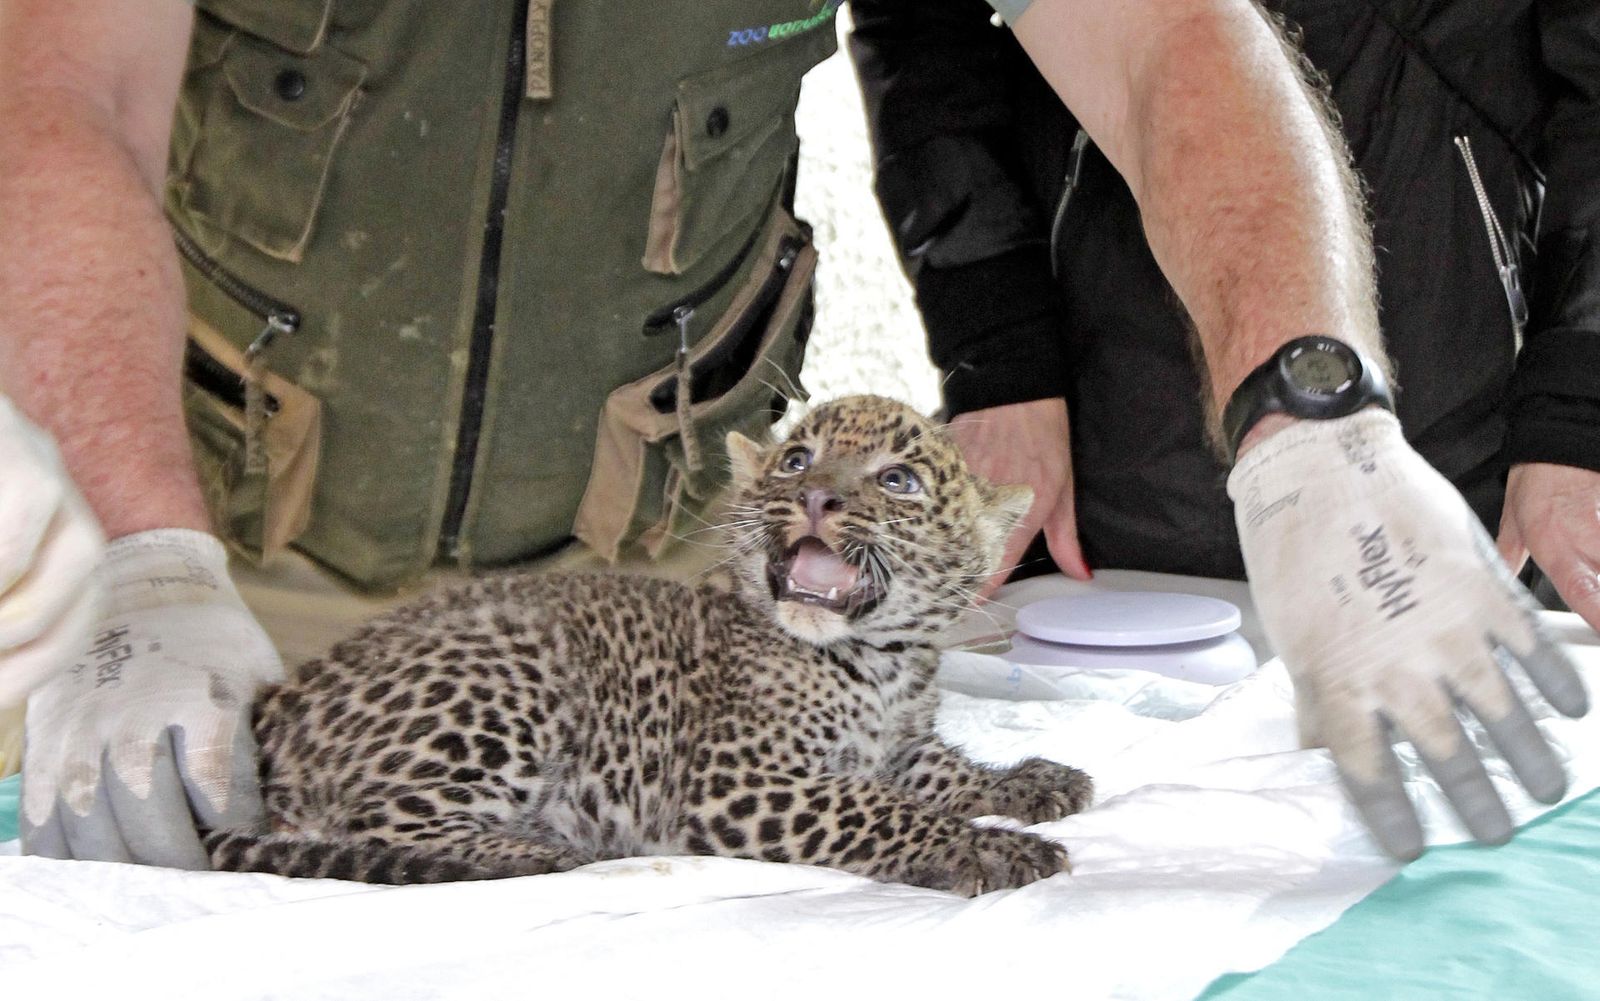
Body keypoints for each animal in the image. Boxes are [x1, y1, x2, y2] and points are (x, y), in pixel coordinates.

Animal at [205, 395, 1093, 895]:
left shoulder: (897, 743)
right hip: (511, 679)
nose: (816, 496)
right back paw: (544, 847)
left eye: (896, 480)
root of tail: (273, 705)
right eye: (796, 460)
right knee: (377, 826)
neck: (881, 662)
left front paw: (1028, 780)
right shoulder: (736, 780)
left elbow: (938, 770)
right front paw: (989, 848)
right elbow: (878, 809)